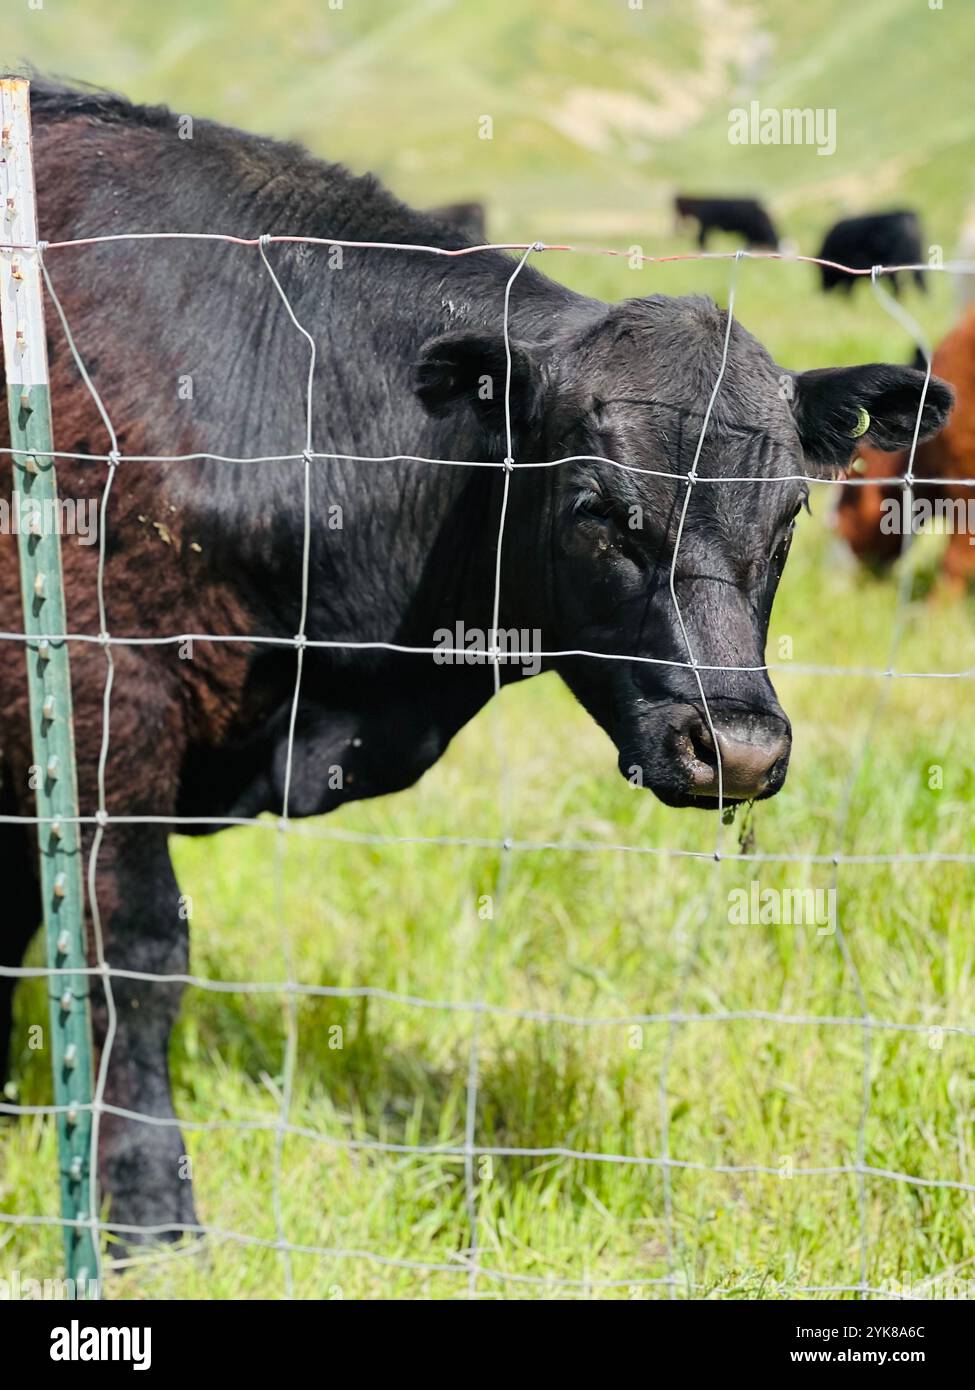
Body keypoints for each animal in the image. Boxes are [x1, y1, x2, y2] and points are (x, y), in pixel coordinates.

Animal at [0, 78, 951, 1239]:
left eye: (787, 518)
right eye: (597, 511)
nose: (737, 748)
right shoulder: (102, 691)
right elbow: (134, 952)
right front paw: (145, 1211)